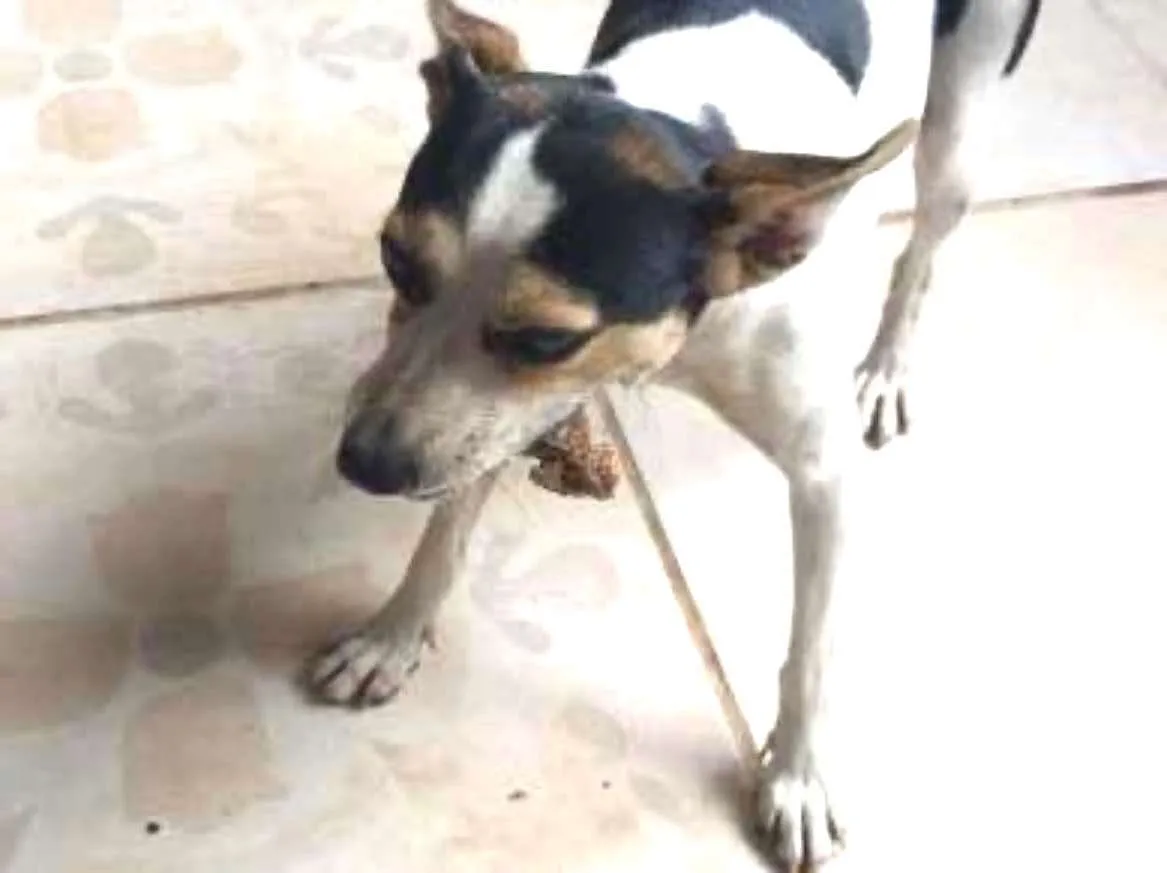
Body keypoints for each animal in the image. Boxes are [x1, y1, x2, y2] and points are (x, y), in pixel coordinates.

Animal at [307, 0, 1042, 867]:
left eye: (545, 339)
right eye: (395, 260)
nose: (364, 461)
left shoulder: (822, 476)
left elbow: (813, 649)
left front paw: (796, 776)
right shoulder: (503, 414)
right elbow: (444, 535)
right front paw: (392, 635)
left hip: (957, 129)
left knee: (922, 244)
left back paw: (886, 365)